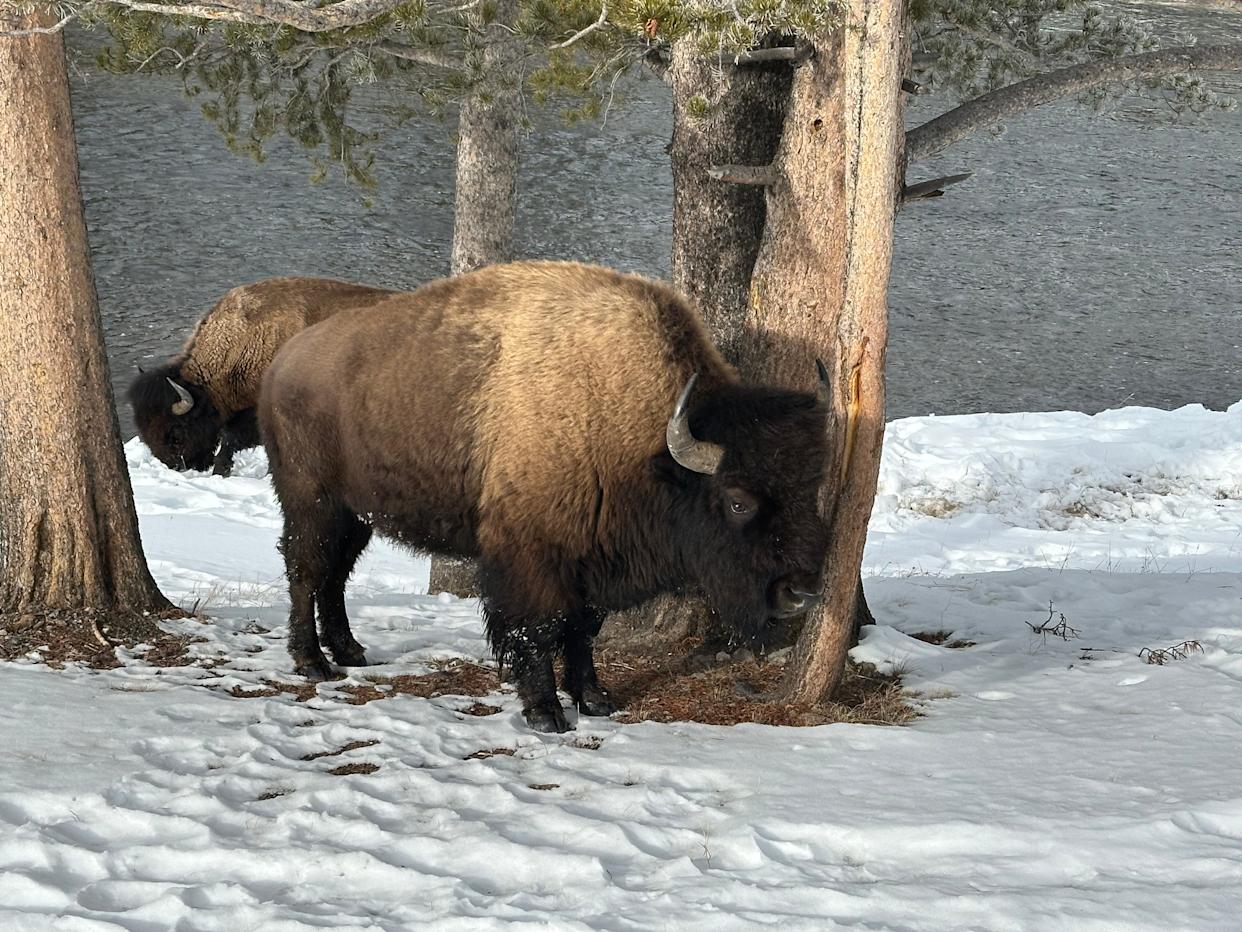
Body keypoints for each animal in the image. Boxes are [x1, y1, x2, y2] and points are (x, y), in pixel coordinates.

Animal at [259, 261, 831, 732]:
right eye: (737, 500)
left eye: (812, 489)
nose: (800, 593)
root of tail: (283, 361)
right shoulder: (531, 558)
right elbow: (539, 629)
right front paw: (546, 713)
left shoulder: (592, 563)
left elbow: (583, 630)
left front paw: (595, 699)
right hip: (312, 502)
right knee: (306, 571)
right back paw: (313, 662)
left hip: (356, 514)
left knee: (334, 576)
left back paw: (350, 651)